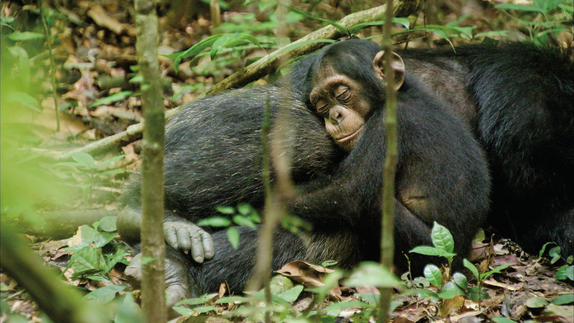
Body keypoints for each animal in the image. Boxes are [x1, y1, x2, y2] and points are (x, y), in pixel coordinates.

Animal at [118, 39, 490, 306]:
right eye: (322, 103)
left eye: (342, 93)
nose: (334, 115)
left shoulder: (388, 127)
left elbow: (347, 190)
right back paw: (150, 227)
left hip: (428, 253)